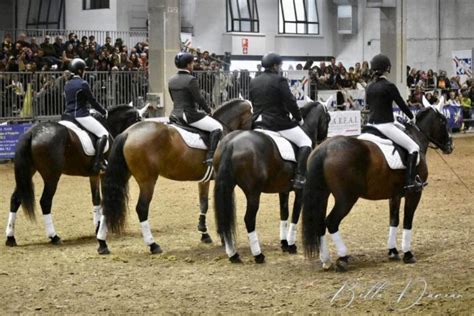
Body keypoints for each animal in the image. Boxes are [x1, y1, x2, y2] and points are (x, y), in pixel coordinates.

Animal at [5, 105, 143, 247]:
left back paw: (10, 238)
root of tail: (32, 132)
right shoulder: (104, 173)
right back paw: (54, 237)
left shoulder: (94, 175)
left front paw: (98, 227)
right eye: (139, 119)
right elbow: (104, 199)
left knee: (16, 199)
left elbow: (96, 199)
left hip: (27, 172)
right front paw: (102, 227)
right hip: (52, 176)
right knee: (45, 201)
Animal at [96, 99, 252, 254]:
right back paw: (153, 245)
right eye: (252, 115)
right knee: (142, 208)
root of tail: (128, 133)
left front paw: (204, 234)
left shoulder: (204, 180)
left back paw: (102, 244)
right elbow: (221, 205)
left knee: (108, 205)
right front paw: (224, 238)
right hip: (147, 181)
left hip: (124, 174)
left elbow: (204, 204)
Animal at [213, 101, 332, 264]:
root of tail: (231, 144)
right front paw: (291, 245)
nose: (324, 139)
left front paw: (284, 243)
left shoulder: (283, 190)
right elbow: (295, 215)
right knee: (249, 219)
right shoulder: (300, 190)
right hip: (253, 193)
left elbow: (284, 213)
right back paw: (258, 255)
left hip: (227, 187)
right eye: (328, 118)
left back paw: (233, 255)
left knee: (225, 217)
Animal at [302, 105, 454, 272]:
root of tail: (325, 149)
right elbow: (407, 221)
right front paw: (408, 254)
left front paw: (393, 251)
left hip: (322, 194)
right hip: (346, 199)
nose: (450, 146)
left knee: (320, 223)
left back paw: (326, 260)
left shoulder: (395, 195)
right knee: (331, 222)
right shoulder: (414, 193)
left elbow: (394, 220)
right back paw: (342, 258)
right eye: (443, 121)